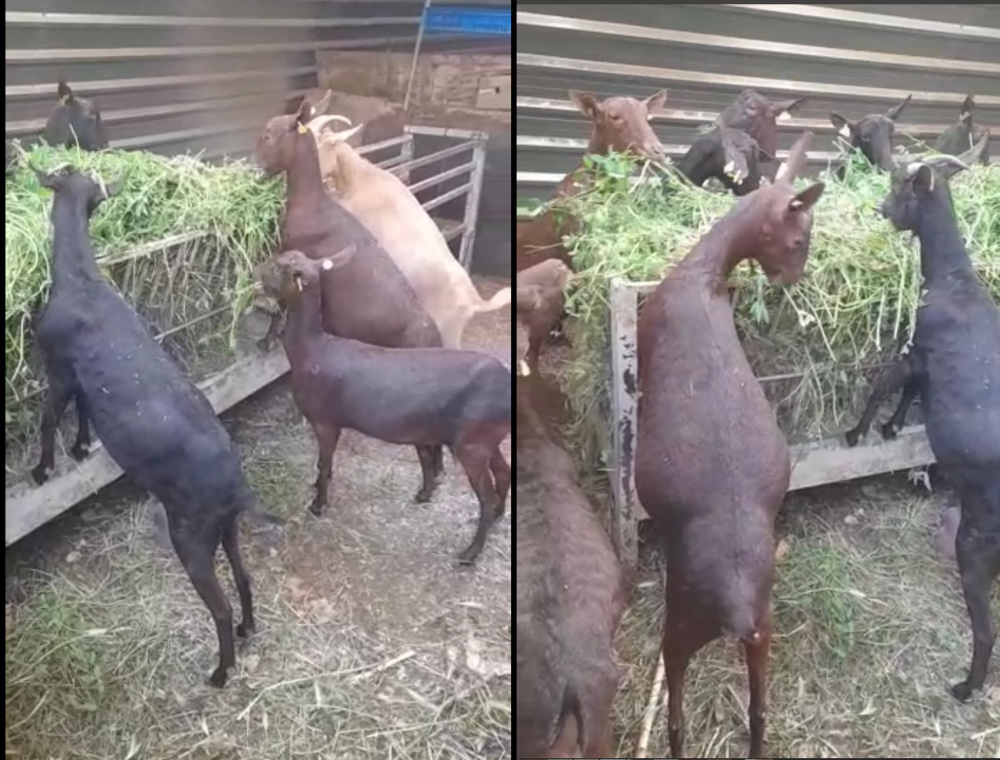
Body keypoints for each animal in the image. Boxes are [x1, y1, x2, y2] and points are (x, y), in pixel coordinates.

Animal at [29, 165, 279, 688]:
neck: (81, 280)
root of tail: (236, 486)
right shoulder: (82, 379)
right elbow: (84, 409)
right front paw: (80, 447)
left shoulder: (58, 368)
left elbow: (49, 417)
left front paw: (42, 471)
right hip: (225, 528)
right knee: (244, 577)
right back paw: (248, 630)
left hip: (192, 535)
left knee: (219, 606)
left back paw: (220, 673)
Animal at [257, 249, 510, 564]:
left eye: (280, 268)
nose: (257, 271)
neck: (310, 350)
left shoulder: (325, 420)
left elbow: (323, 463)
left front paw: (317, 505)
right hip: (488, 438)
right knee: (504, 473)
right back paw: (497, 514)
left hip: (473, 444)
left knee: (485, 496)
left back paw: (470, 553)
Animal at [635, 133, 824, 759]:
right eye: (799, 237)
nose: (792, 279)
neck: (705, 274)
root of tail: (737, 605)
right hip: (764, 635)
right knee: (759, 713)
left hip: (681, 627)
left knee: (675, 713)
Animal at [844, 133, 998, 702]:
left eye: (900, 187)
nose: (879, 209)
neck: (954, 280)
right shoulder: (923, 366)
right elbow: (909, 394)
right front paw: (890, 428)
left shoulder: (916, 353)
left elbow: (886, 384)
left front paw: (856, 432)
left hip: (977, 541)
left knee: (985, 627)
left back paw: (964, 687)